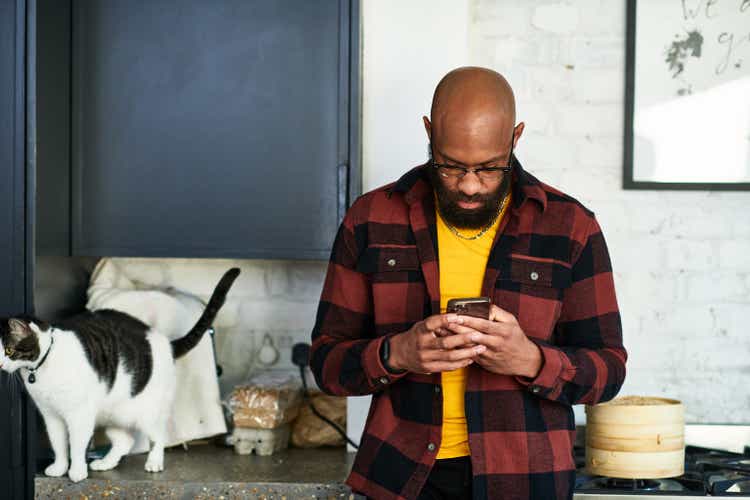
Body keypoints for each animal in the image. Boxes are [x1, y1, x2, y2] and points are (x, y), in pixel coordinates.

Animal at [0, 270, 239, 484]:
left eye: (8, 350)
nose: (0, 364)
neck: (42, 367)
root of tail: (166, 342)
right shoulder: (51, 416)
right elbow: (58, 444)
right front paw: (59, 468)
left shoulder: (79, 415)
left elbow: (76, 445)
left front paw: (77, 472)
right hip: (113, 414)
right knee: (126, 441)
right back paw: (105, 463)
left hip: (148, 412)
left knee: (158, 436)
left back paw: (154, 463)